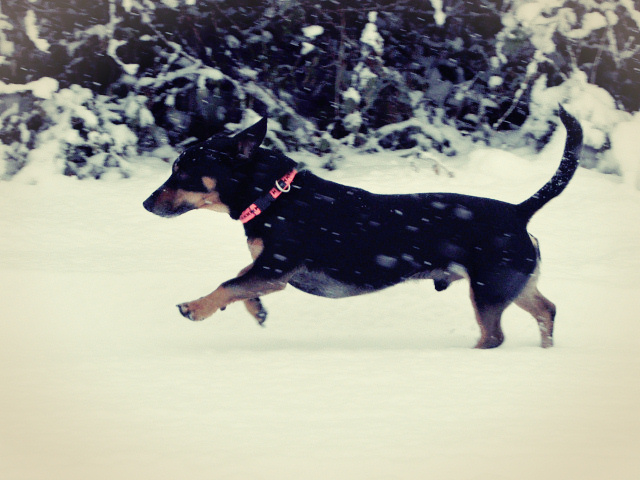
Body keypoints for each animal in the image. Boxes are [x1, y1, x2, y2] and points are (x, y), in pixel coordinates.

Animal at [142, 107, 584, 348]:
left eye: (183, 172)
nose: (146, 203)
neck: (274, 195)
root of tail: (519, 212)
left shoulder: (276, 266)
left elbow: (227, 284)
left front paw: (195, 308)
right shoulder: (270, 271)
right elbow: (240, 281)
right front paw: (257, 310)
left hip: (489, 289)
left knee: (495, 336)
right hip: (514, 283)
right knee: (547, 310)